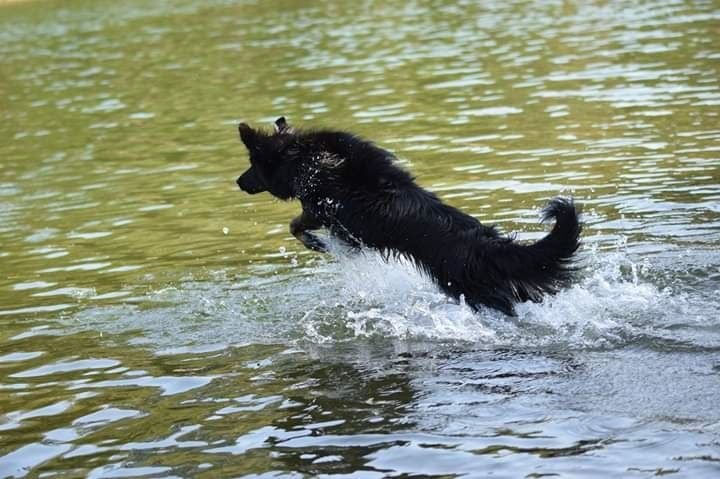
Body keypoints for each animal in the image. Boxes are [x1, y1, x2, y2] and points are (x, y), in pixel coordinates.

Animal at [239, 117, 584, 316]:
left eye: (252, 165)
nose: (238, 182)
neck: (300, 157)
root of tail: (487, 247)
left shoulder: (323, 208)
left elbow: (295, 224)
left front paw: (318, 244)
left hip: (473, 291)